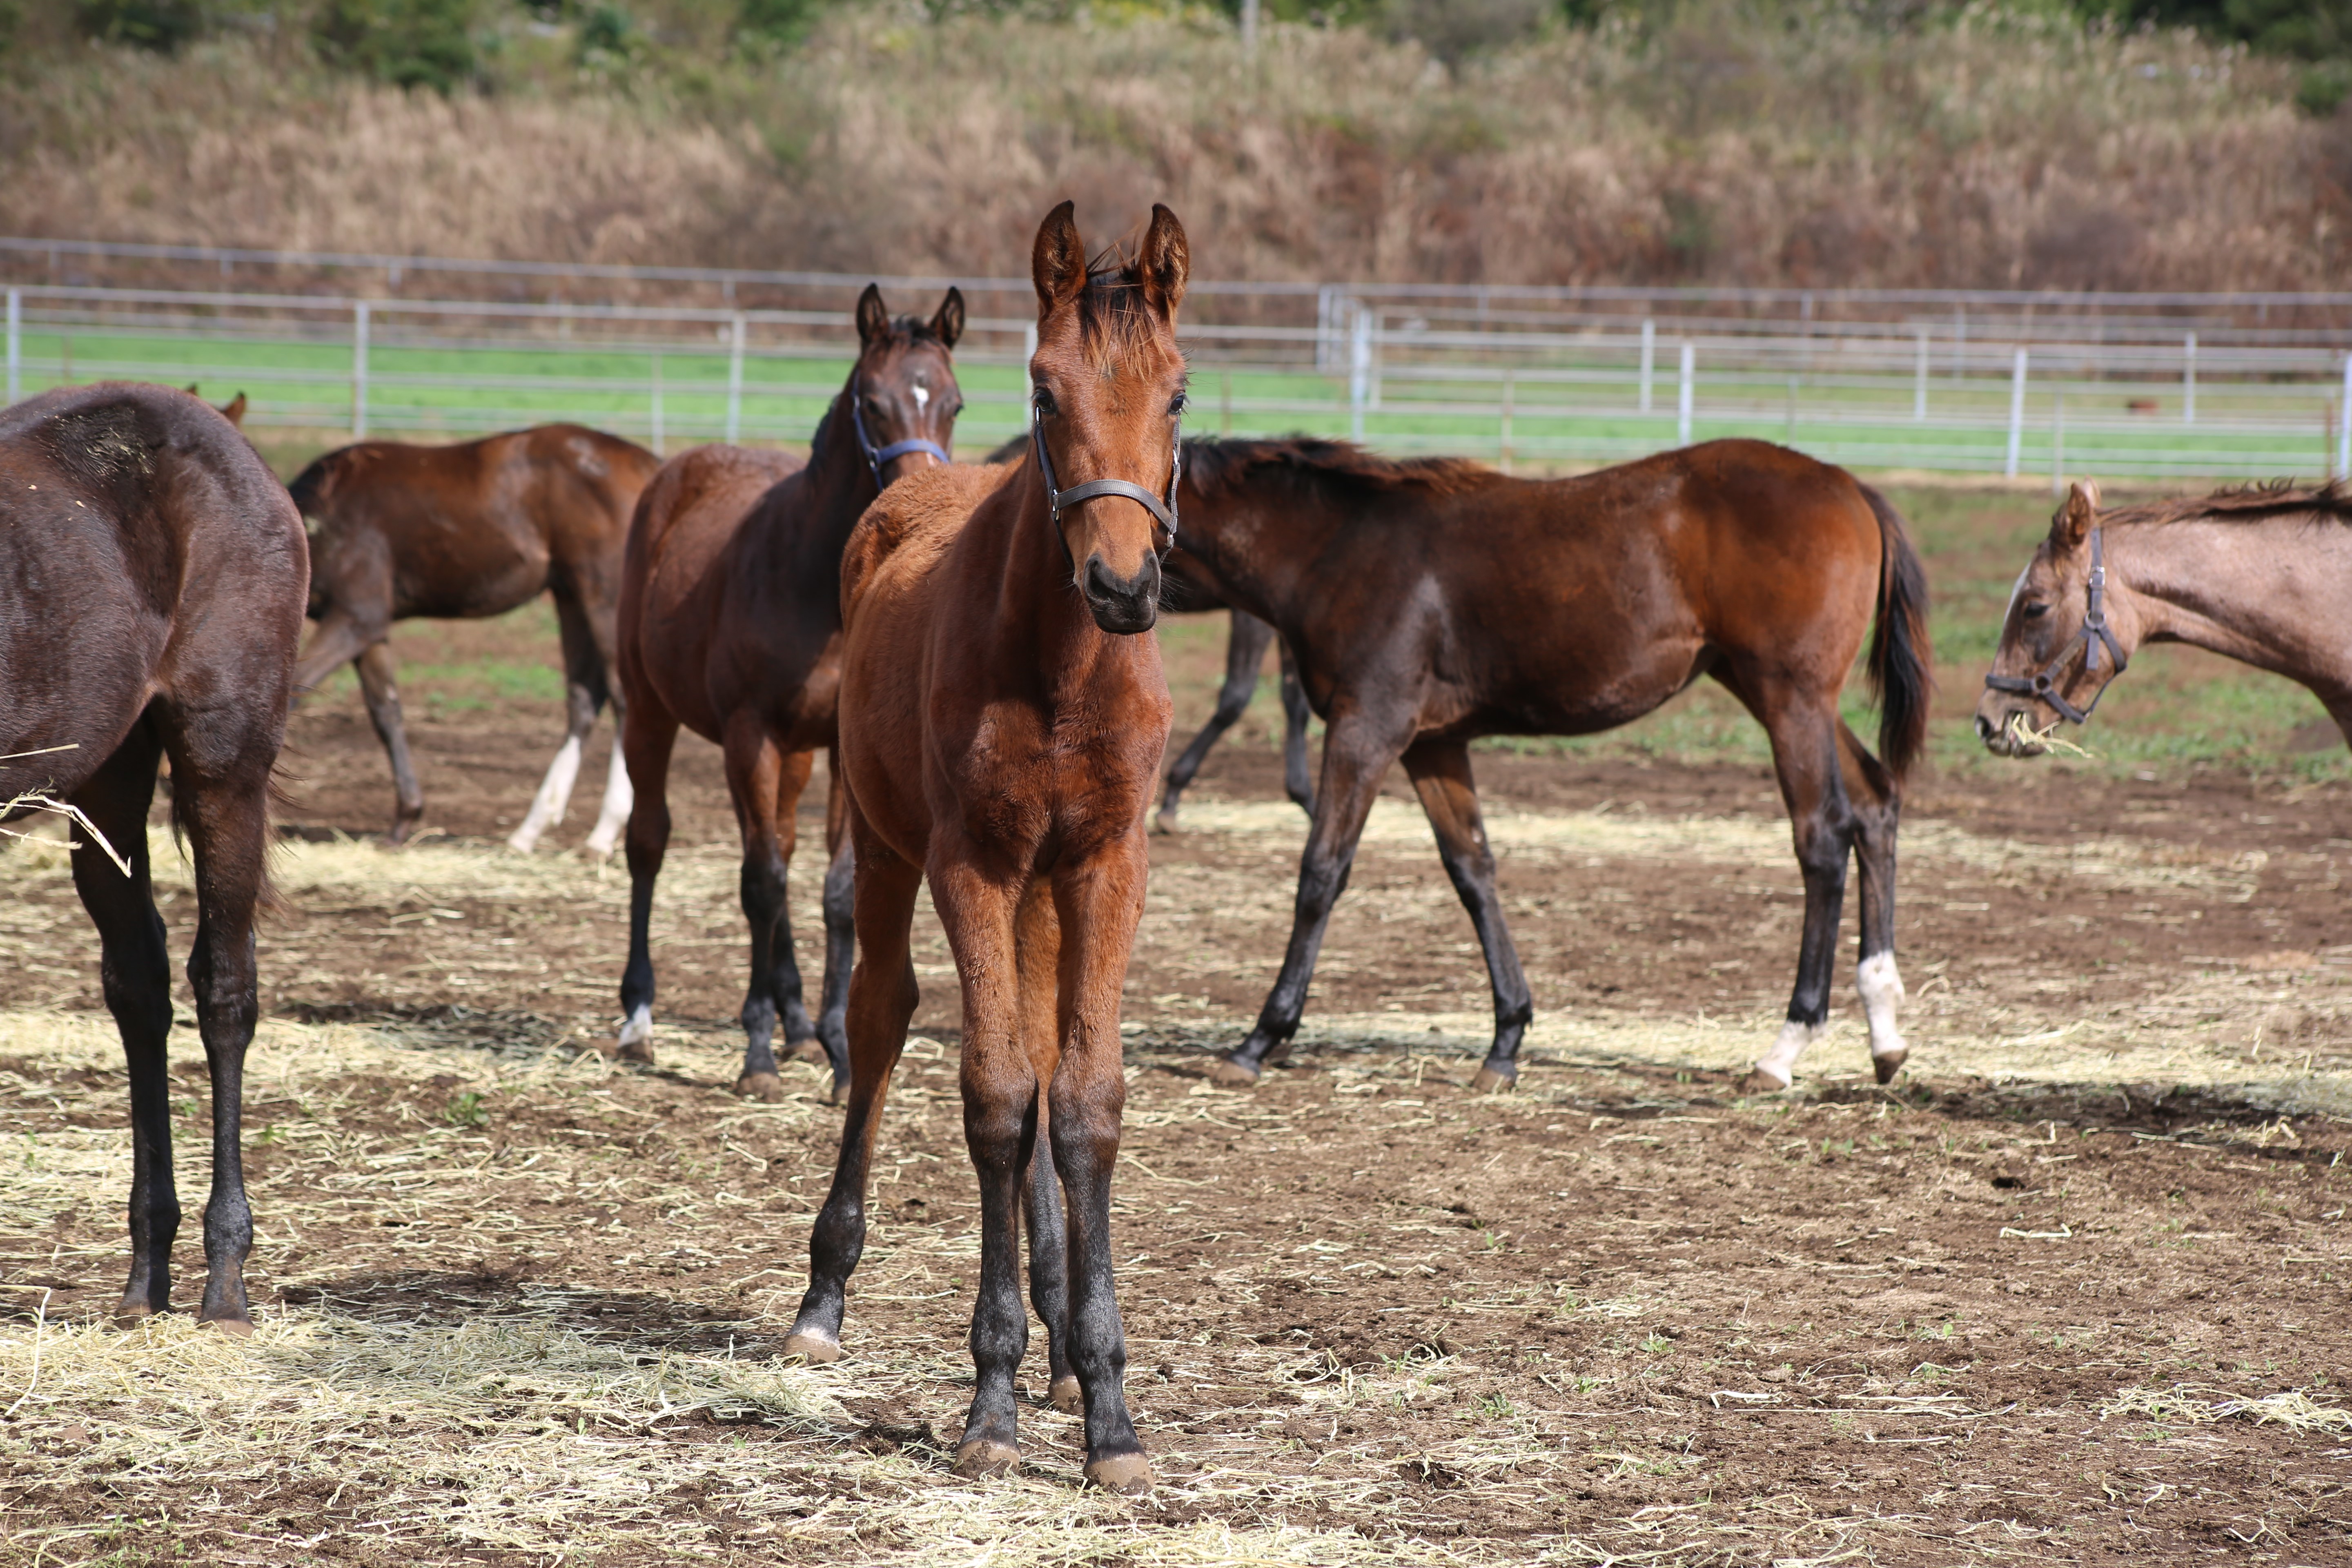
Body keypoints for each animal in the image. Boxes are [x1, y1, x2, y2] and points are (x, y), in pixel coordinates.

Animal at [1, 385, 308, 1335]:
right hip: (105, 779)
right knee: (140, 985)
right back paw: (147, 1272)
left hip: (224, 767)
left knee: (224, 988)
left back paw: (224, 1279)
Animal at [293, 425, 668, 846]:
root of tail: (650, 467)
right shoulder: (371, 633)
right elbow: (386, 713)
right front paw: (405, 817)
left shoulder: (357, 619)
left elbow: (295, 690)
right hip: (571, 597)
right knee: (584, 700)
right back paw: (531, 829)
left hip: (604, 597)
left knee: (623, 700)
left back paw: (604, 832)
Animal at [621, 291, 969, 1105]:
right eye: (870, 403)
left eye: (954, 404)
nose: (916, 496)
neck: (814, 580)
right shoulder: (752, 736)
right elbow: (761, 882)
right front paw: (757, 1054)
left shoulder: (842, 748)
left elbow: (835, 892)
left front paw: (839, 1049)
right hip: (647, 707)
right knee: (651, 842)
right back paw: (640, 1020)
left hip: (798, 754)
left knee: (779, 839)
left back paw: (801, 1022)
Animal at [1171, 435, 1929, 1100]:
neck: (1336, 548)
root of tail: (1851, 487)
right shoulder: (1433, 745)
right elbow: (1473, 871)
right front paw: (1506, 1042)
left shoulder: (1367, 729)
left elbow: (1322, 872)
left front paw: (1258, 1040)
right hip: (1774, 693)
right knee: (1875, 804)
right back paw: (1884, 1030)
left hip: (1790, 700)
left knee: (1823, 838)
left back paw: (1785, 1048)